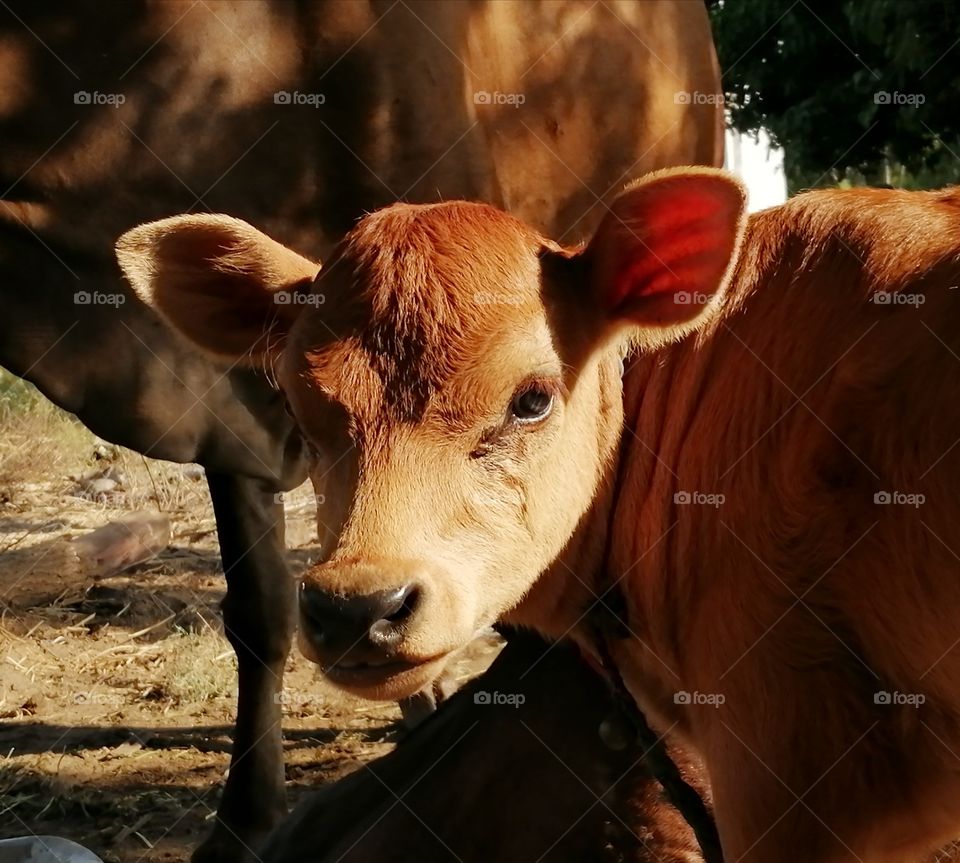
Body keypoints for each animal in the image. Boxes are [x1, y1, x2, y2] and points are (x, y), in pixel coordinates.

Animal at [0, 1, 722, 860]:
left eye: (530, 398)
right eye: (303, 408)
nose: (354, 609)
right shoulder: (234, 421)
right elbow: (261, 610)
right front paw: (246, 818)